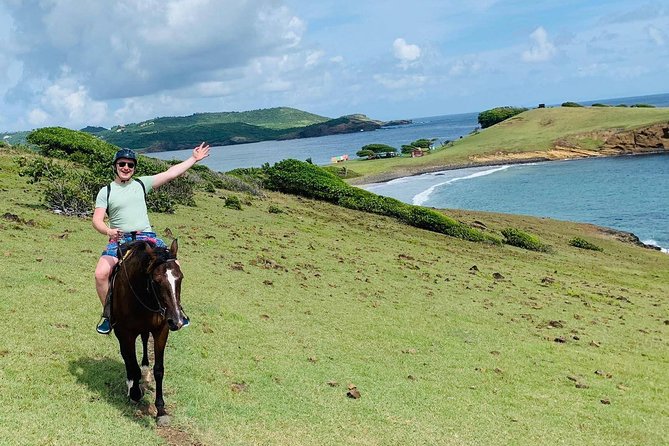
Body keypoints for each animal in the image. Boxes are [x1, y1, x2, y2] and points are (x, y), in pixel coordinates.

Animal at [109, 239, 187, 424]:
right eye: (157, 280)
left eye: (180, 277)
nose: (177, 321)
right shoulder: (126, 333)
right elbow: (131, 362)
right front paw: (135, 393)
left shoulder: (161, 330)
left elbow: (159, 369)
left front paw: (161, 410)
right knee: (127, 356)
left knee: (144, 340)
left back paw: (145, 372)